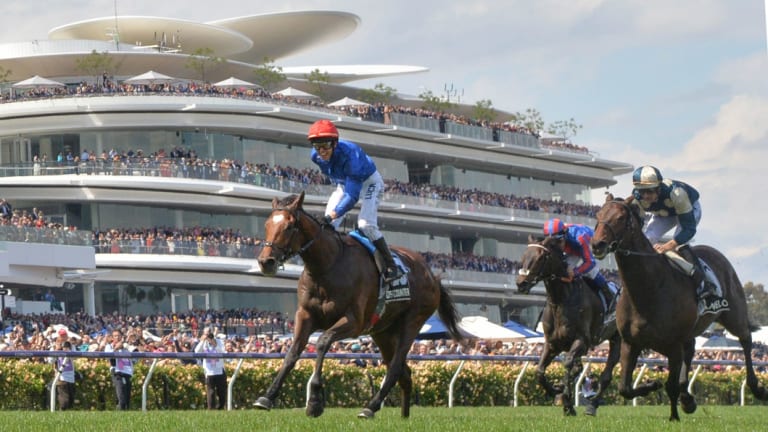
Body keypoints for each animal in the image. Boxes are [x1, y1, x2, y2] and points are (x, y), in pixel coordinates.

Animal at [254, 193, 462, 418]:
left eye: (289, 226)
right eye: (266, 224)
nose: (266, 262)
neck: (327, 266)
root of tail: (432, 275)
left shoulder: (354, 322)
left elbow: (322, 342)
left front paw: (315, 401)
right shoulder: (306, 315)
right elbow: (292, 352)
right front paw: (267, 397)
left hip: (413, 321)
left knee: (395, 367)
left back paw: (370, 407)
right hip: (383, 332)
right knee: (404, 372)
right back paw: (403, 416)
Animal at [512, 235, 620, 416]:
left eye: (541, 257)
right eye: (524, 255)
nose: (521, 283)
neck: (560, 300)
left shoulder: (582, 341)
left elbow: (568, 363)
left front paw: (567, 403)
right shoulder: (552, 344)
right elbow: (540, 371)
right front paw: (555, 391)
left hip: (618, 338)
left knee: (607, 374)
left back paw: (592, 405)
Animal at [592, 196, 764, 422]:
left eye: (620, 217)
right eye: (598, 215)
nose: (597, 244)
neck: (648, 289)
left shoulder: (673, 345)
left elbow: (670, 385)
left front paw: (674, 416)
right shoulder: (630, 343)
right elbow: (624, 388)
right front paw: (653, 385)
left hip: (734, 315)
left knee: (745, 340)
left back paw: (757, 388)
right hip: (691, 331)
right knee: (691, 349)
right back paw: (687, 397)